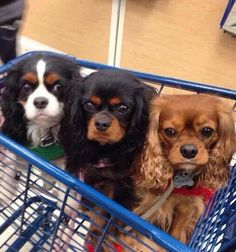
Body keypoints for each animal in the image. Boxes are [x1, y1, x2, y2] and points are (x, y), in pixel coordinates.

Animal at [0, 52, 81, 207]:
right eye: (26, 86)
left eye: (58, 85)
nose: (40, 101)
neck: (42, 128)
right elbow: (10, 168)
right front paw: (5, 193)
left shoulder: (63, 160)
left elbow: (64, 185)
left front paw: (66, 204)